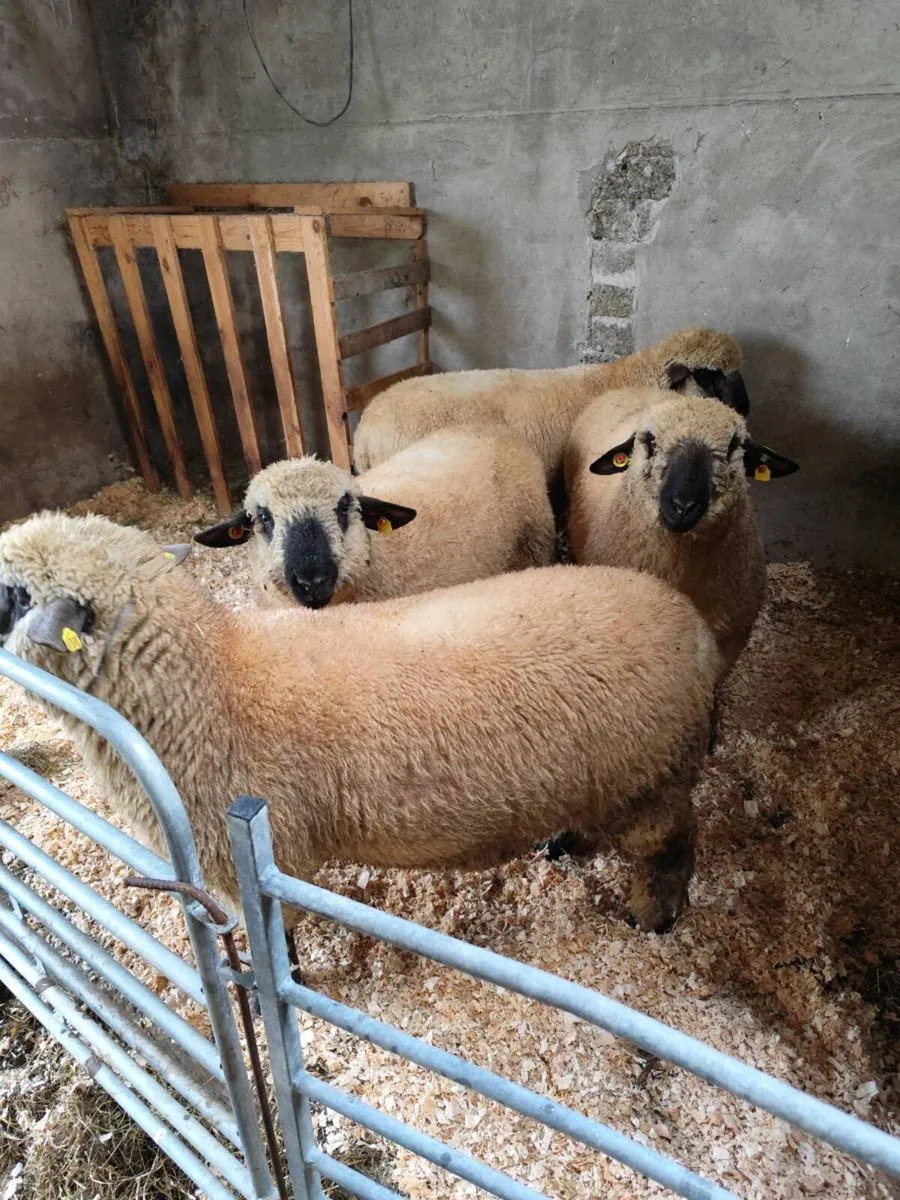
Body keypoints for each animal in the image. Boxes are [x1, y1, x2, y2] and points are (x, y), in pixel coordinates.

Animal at [0, 512, 721, 933]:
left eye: (10, 595)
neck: (213, 684)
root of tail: (696, 627)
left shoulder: (254, 866)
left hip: (651, 774)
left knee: (676, 840)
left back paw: (653, 914)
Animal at [564, 385, 799, 680]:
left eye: (733, 446)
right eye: (651, 441)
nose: (682, 506)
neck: (676, 571)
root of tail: (635, 387)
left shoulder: (730, 642)